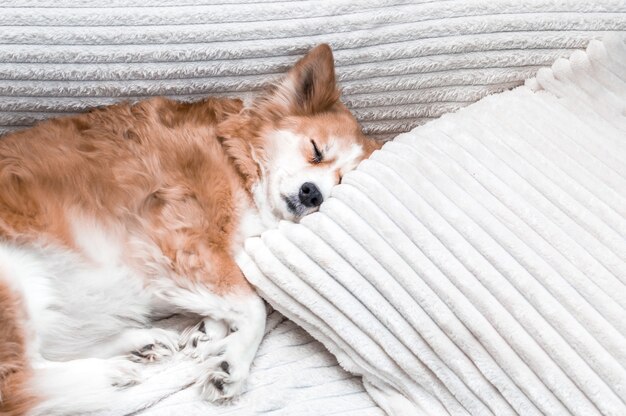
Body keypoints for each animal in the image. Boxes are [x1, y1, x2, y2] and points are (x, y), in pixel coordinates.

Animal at [0, 44, 378, 412]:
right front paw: (233, 363)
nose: (313, 193)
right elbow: (255, 307)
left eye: (341, 184)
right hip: (14, 278)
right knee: (21, 381)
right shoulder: (183, 245)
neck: (238, 163)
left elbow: (228, 302)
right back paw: (109, 373)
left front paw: (210, 332)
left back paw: (140, 343)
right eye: (316, 151)